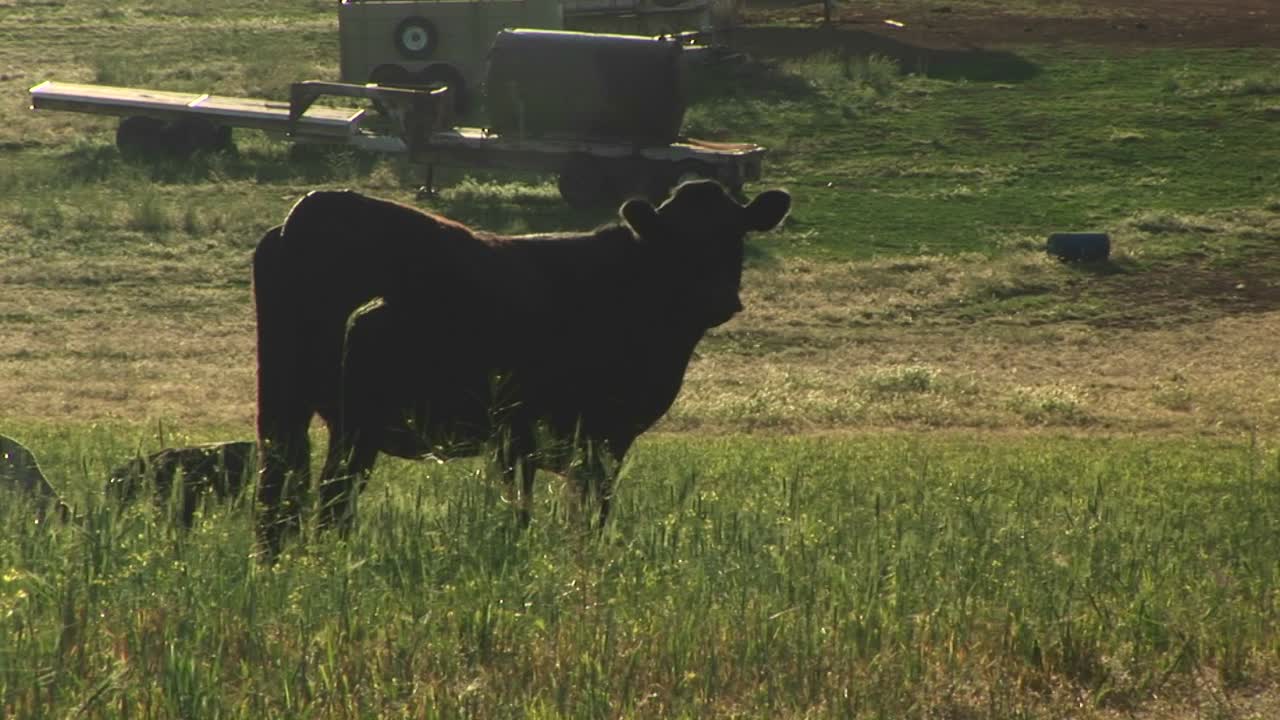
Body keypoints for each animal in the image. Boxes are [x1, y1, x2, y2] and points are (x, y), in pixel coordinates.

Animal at [252, 180, 791, 555]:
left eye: (736, 235)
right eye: (676, 240)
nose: (718, 298)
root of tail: (309, 211)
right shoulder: (592, 433)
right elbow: (568, 511)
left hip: (284, 408)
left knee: (279, 493)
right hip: (354, 422)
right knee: (330, 500)